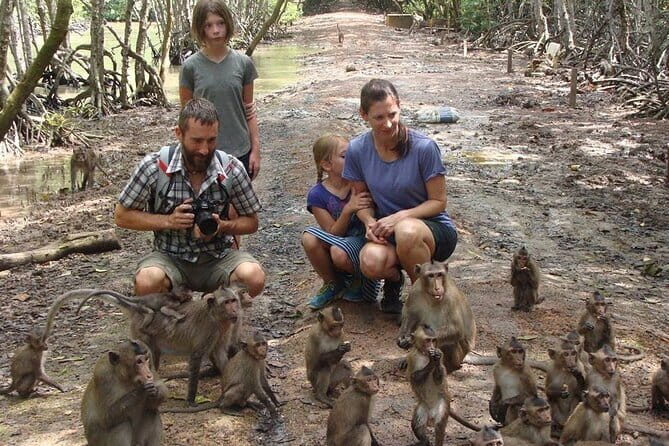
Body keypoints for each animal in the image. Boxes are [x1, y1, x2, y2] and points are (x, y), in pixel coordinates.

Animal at [75, 286, 242, 405]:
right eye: (226, 302)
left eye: (233, 300)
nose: (235, 310)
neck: (216, 316)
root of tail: (137, 309)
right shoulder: (210, 330)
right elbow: (196, 356)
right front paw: (190, 400)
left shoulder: (224, 330)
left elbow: (220, 355)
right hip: (140, 334)